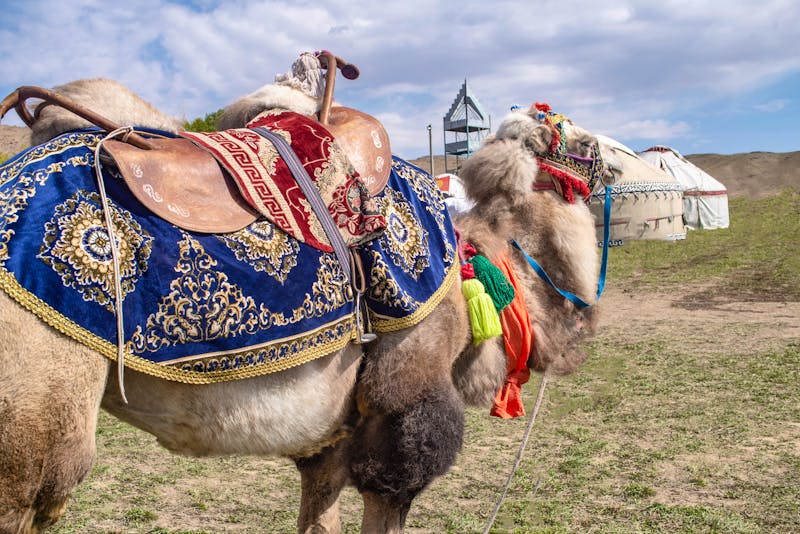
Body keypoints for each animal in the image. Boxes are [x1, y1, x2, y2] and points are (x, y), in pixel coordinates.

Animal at [0, 56, 612, 533]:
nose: (610, 159)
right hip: (33, 432)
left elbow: (319, 513)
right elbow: (390, 489)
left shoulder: (331, 439)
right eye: (577, 137)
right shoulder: (404, 403)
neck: (474, 264)